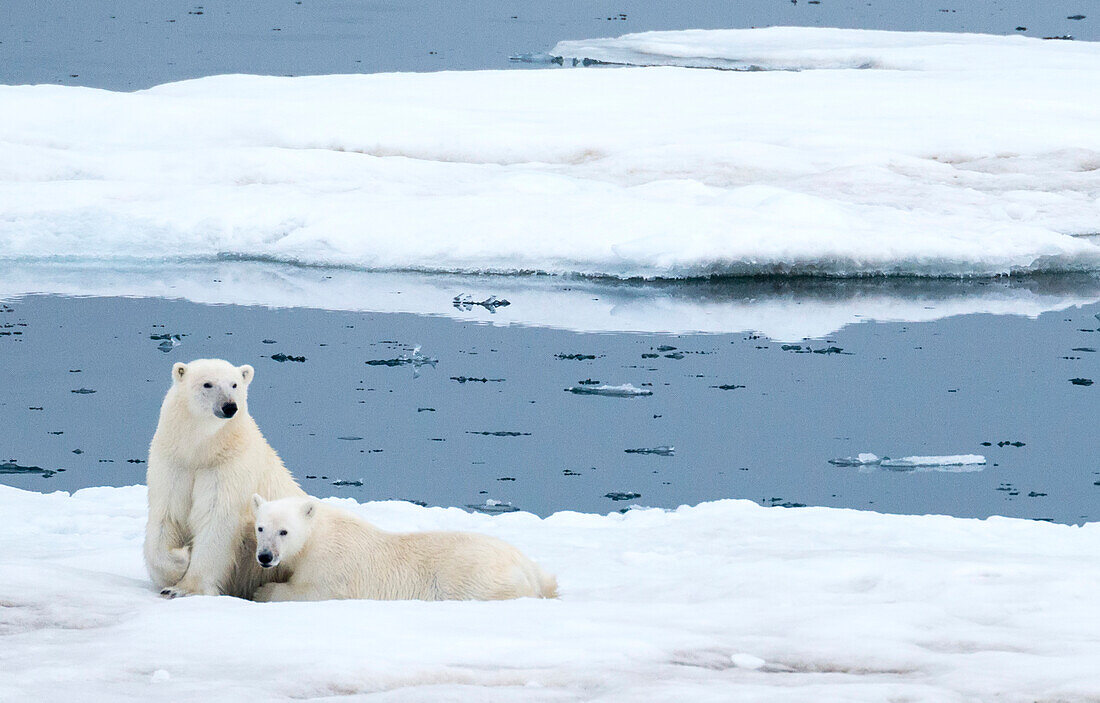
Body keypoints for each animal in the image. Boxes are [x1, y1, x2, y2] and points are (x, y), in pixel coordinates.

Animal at [145, 356, 305, 598]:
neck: (203, 451)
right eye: (207, 384)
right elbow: (167, 515)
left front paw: (184, 588)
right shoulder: (175, 463)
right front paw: (179, 561)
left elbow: (216, 517)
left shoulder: (228, 465)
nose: (229, 406)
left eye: (234, 384)